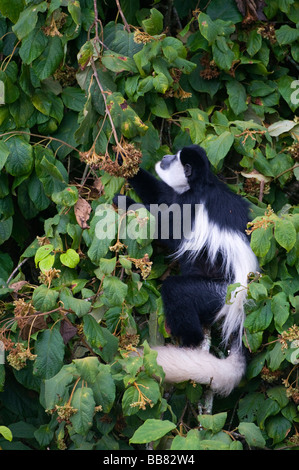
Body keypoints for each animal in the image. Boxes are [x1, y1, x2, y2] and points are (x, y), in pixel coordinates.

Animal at [113, 145, 258, 394]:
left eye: (174, 159)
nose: (164, 157)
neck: (200, 185)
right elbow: (161, 197)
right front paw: (126, 161)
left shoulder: (189, 205)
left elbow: (169, 231)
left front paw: (124, 201)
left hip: (218, 294)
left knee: (177, 292)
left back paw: (191, 343)